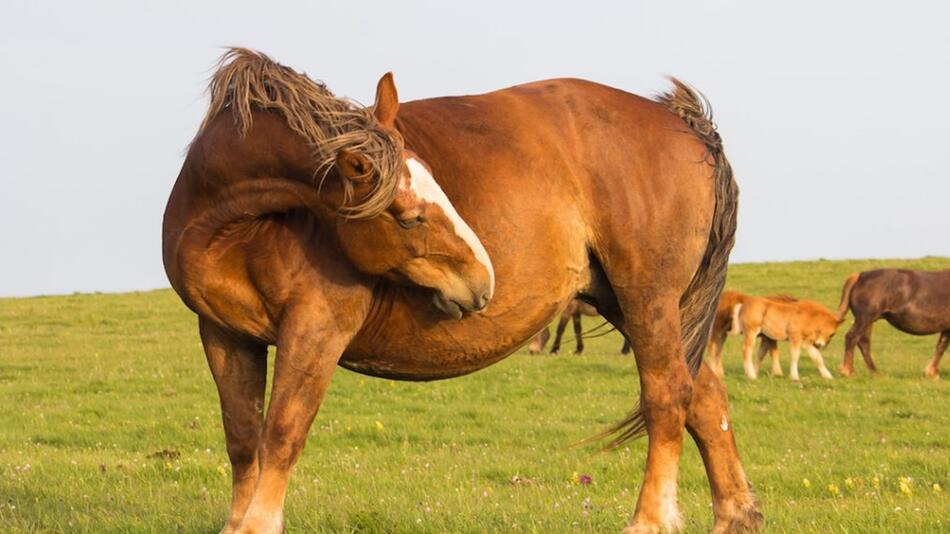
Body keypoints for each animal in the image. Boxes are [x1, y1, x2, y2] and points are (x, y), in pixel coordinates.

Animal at [162, 50, 760, 534]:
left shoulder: (315, 328)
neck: (239, 230)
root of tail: (684, 124)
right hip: (639, 307)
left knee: (668, 398)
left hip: (647, 300)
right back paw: (735, 514)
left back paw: (650, 519)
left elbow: (283, 432)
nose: (482, 280)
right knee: (704, 397)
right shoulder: (224, 335)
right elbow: (244, 437)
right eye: (408, 216)